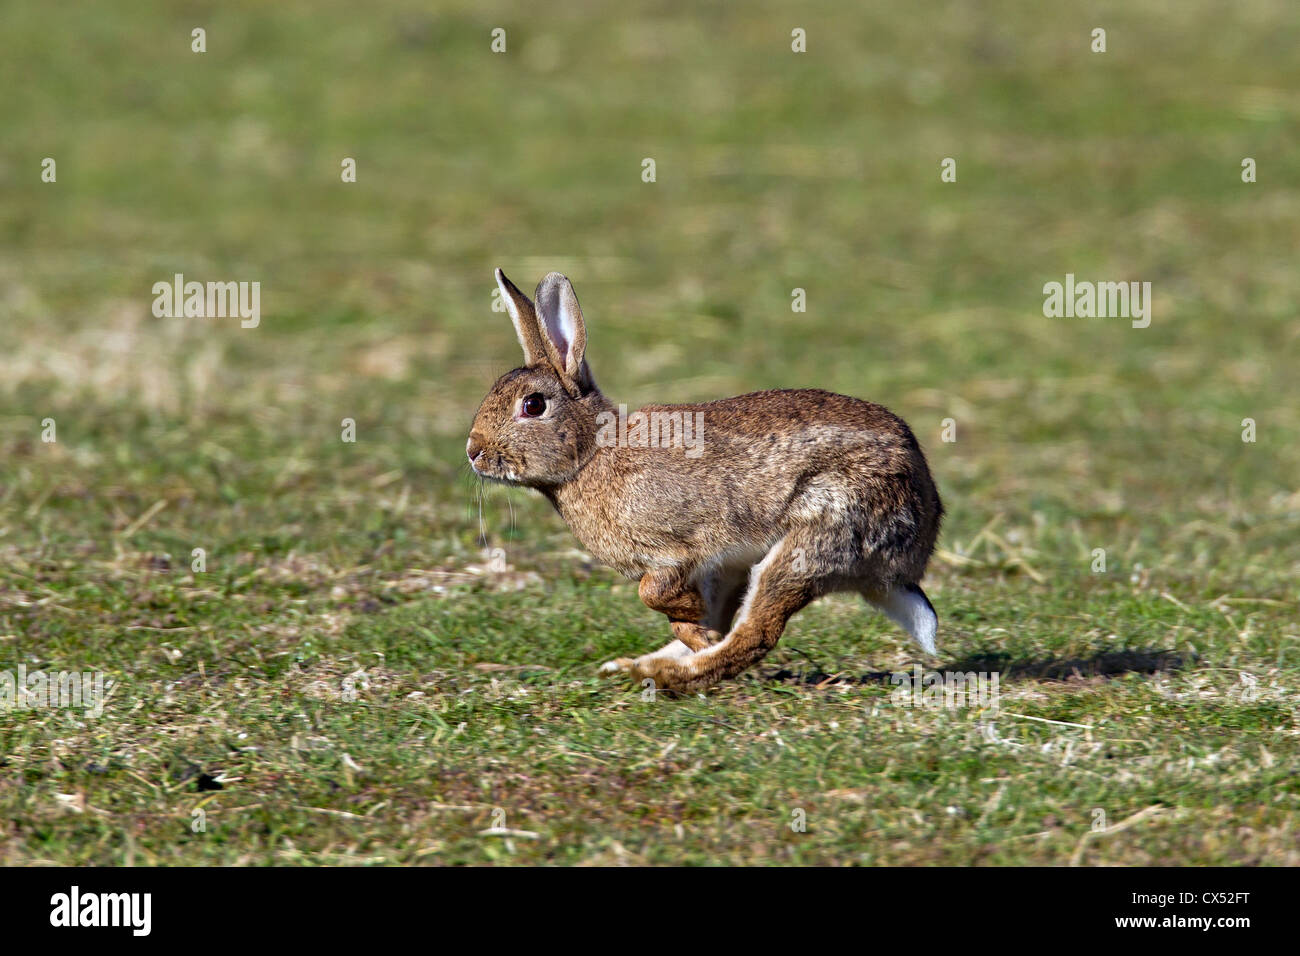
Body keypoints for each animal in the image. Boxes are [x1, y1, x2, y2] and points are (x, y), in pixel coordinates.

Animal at [467, 269, 944, 693]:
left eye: (533, 405)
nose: (473, 451)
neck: (591, 455)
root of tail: (911, 558)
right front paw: (690, 627)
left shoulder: (682, 548)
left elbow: (651, 590)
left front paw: (687, 619)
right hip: (744, 565)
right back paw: (635, 666)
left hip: (815, 541)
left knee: (754, 634)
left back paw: (666, 676)